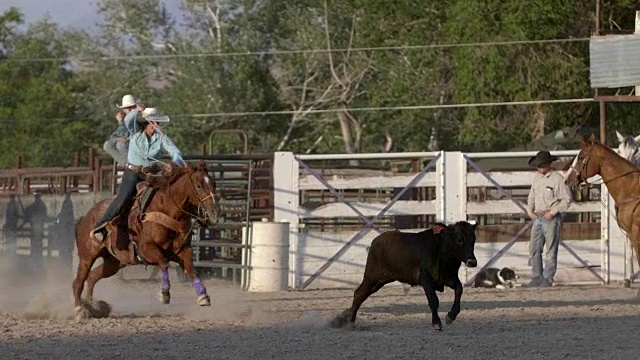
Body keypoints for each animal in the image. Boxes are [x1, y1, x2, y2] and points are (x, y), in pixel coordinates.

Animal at [74, 162, 219, 320]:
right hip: (87, 257)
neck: (166, 209)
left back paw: (93, 307)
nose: (214, 212)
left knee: (92, 277)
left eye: (214, 183)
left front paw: (203, 296)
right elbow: (163, 262)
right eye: (198, 185)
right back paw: (80, 309)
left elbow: (191, 268)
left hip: (114, 262)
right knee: (78, 282)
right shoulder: (146, 249)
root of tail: (85, 217)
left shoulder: (183, 250)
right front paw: (164, 294)